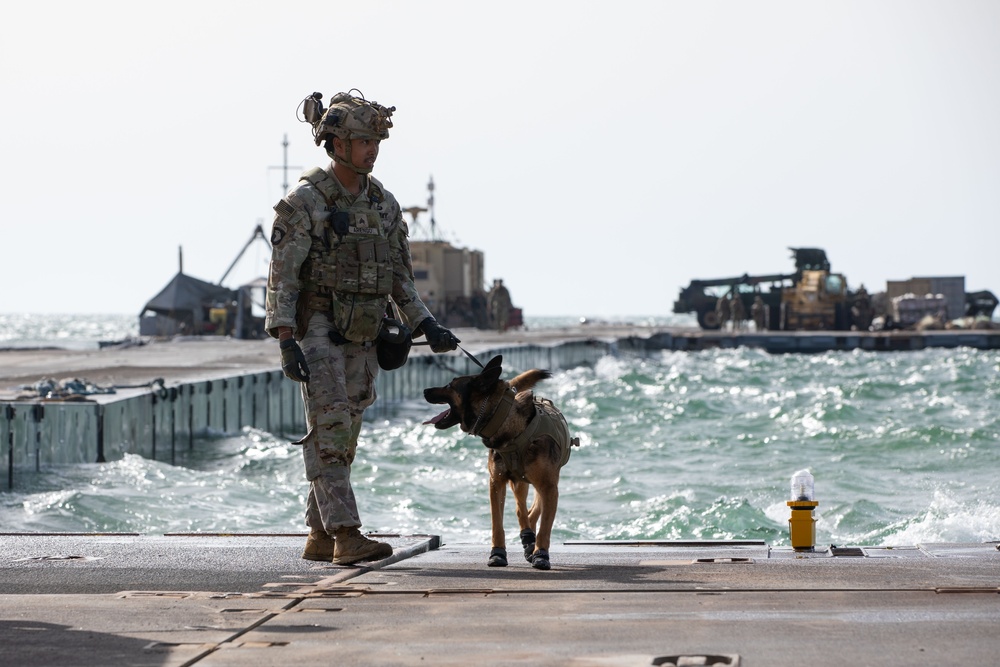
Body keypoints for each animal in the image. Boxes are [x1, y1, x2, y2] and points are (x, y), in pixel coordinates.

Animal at [424, 354, 580, 568]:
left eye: (450, 385)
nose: (424, 390)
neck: (509, 425)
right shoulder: (497, 483)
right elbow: (497, 523)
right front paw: (498, 553)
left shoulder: (549, 486)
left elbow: (545, 527)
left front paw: (541, 554)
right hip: (519, 483)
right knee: (521, 510)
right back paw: (527, 538)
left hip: (543, 484)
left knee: (532, 510)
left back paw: (531, 542)